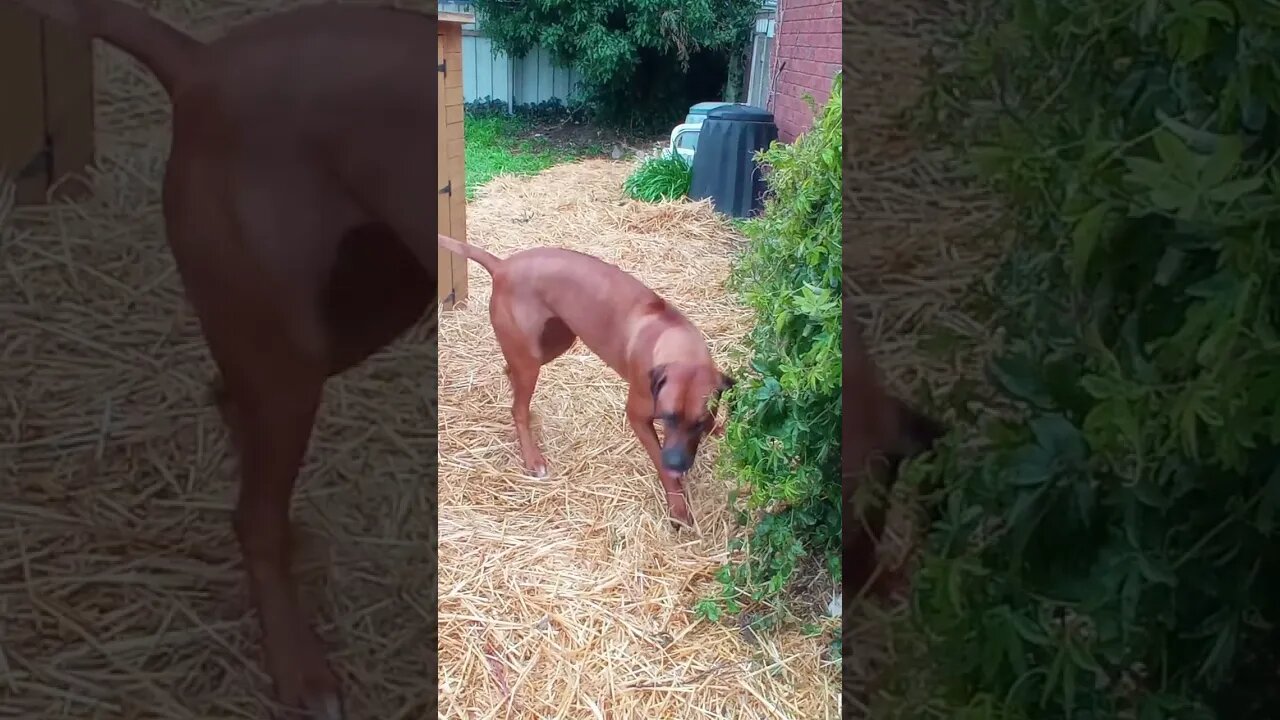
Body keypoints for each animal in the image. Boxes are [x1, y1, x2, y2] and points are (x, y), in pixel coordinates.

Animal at [7, 1, 442, 717]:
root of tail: (202, 63)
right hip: (291, 348)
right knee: (252, 515)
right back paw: (300, 667)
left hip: (369, 303)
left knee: (236, 418)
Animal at [442, 233, 732, 525]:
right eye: (668, 417)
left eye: (698, 423)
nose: (676, 464)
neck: (676, 342)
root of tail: (502, 266)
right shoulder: (638, 416)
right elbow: (658, 460)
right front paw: (678, 505)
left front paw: (718, 431)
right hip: (531, 357)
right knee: (517, 408)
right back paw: (532, 457)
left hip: (556, 342)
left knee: (512, 374)